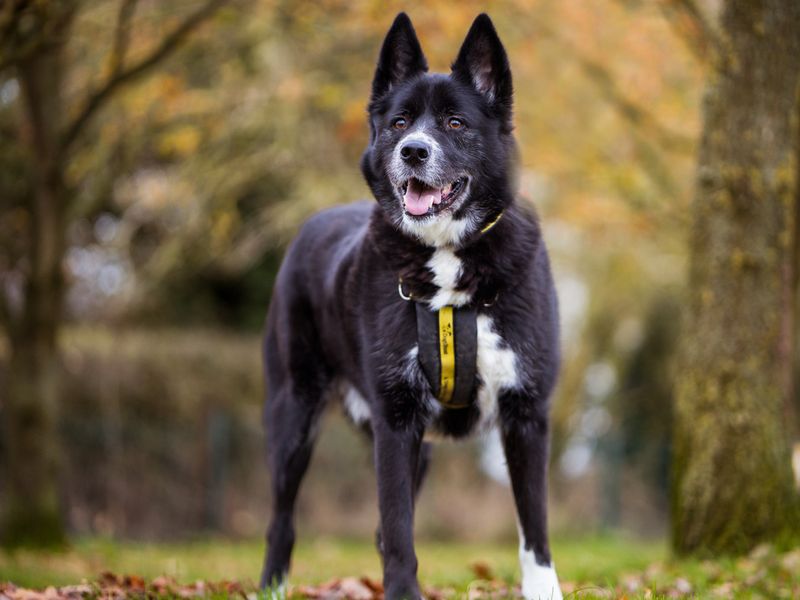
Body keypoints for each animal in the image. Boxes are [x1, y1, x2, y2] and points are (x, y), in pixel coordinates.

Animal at [262, 14, 564, 600]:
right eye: (400, 122)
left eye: (455, 122)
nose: (413, 152)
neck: (448, 258)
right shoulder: (395, 420)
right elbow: (400, 531)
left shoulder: (526, 413)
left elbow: (534, 529)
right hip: (294, 412)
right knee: (283, 519)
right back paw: (272, 584)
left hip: (413, 447)